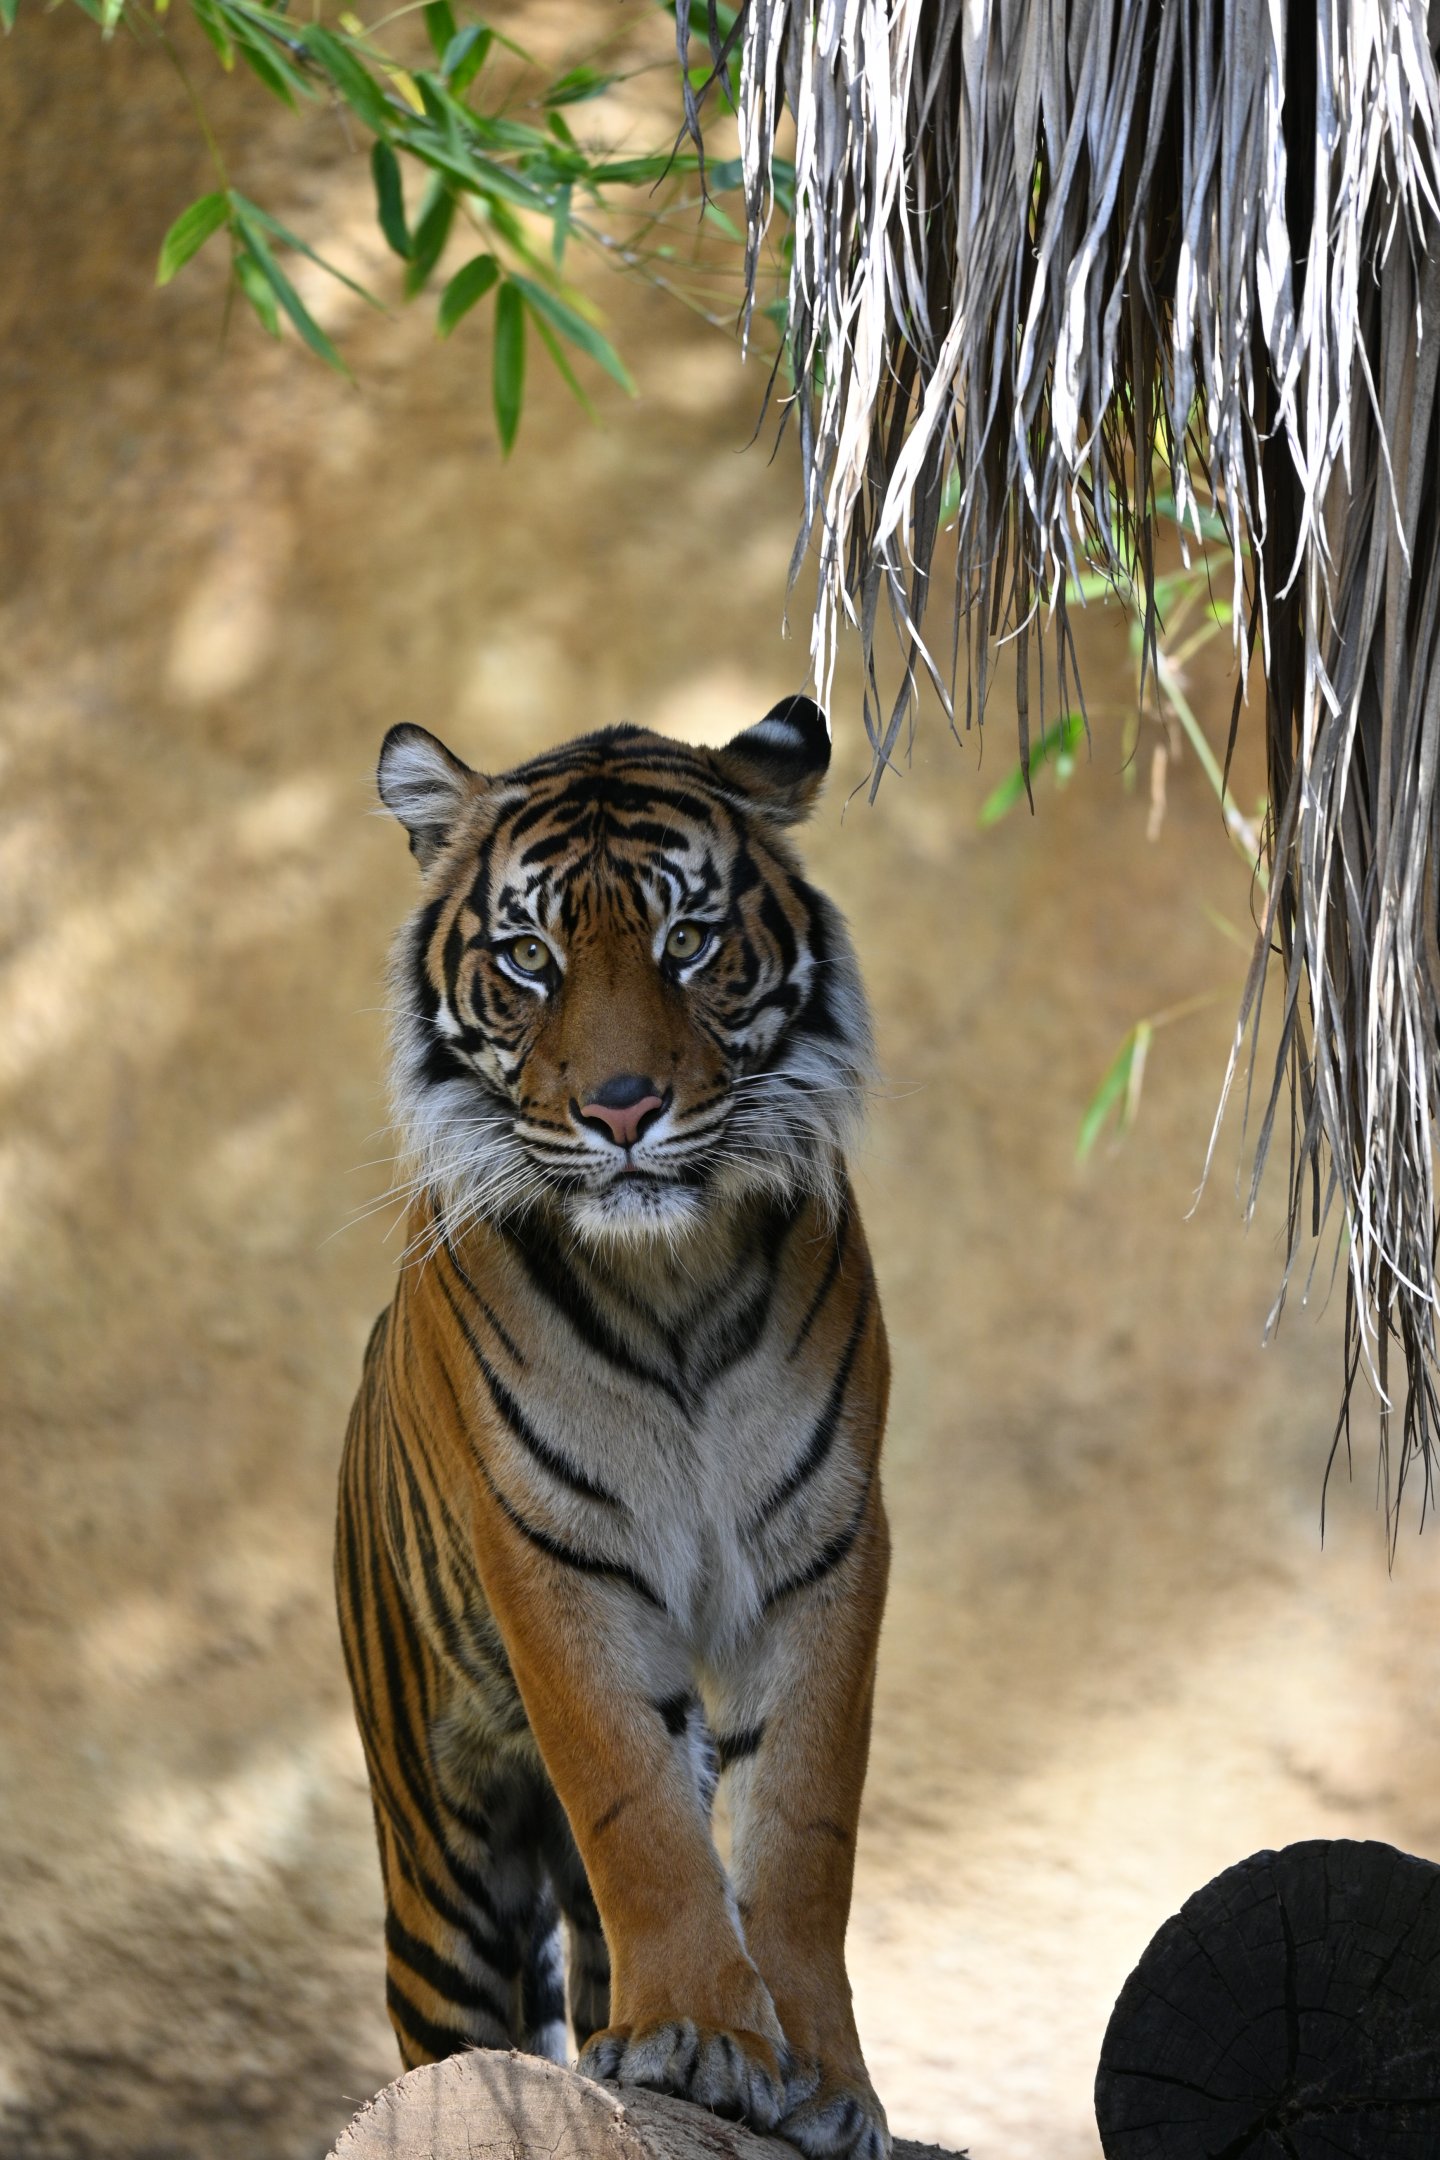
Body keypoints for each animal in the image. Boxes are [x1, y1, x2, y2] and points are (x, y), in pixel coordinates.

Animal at [336, 698, 891, 2160]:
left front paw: (820, 2082)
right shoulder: (554, 1554)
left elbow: (802, 1824)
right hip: (437, 1853)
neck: (671, 1273)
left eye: (686, 940)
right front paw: (698, 2037)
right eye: (529, 959)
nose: (624, 1108)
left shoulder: (824, 1545)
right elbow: (629, 1804)